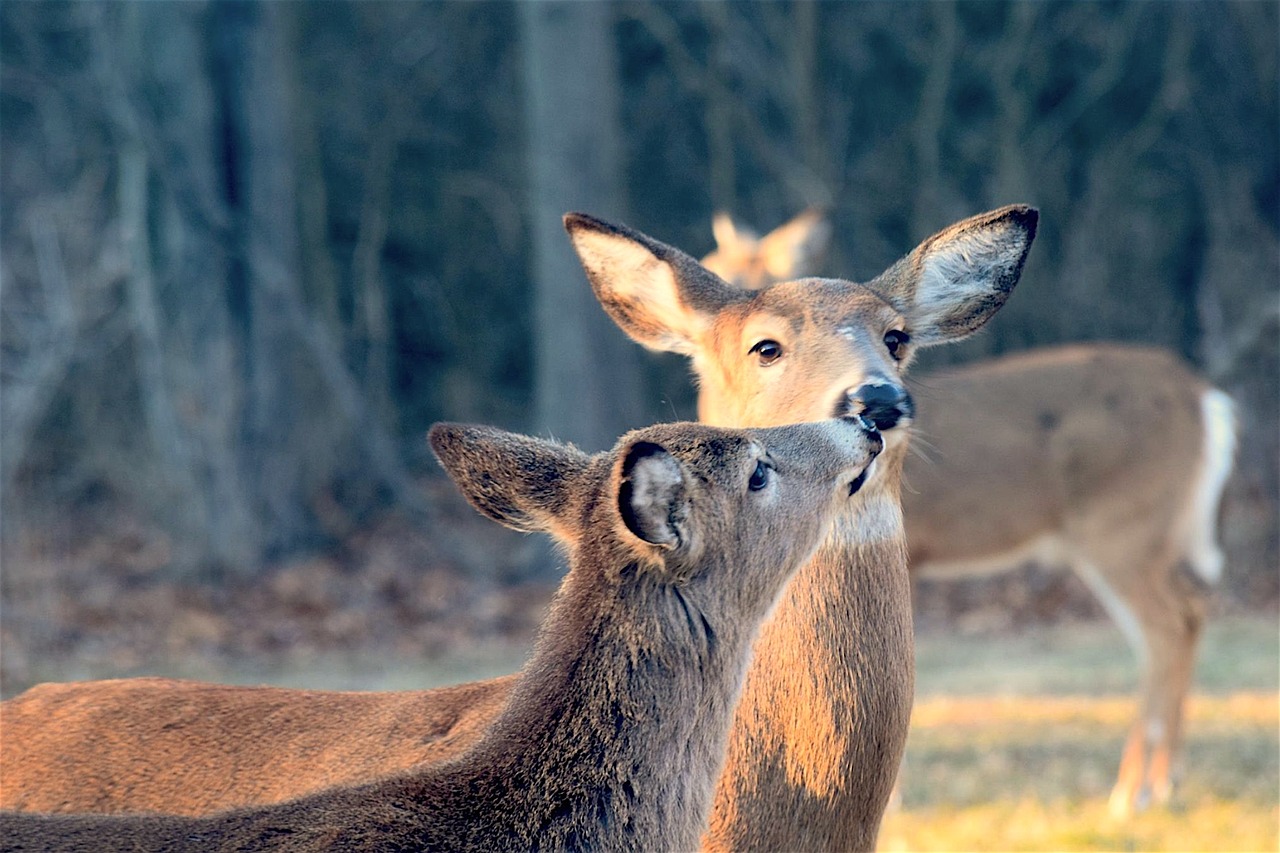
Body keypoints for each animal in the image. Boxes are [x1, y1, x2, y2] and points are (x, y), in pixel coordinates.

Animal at [701, 208, 1239, 814]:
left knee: (1167, 626)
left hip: (1125, 529)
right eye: (716, 265)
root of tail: (1206, 398)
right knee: (1186, 617)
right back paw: (1163, 780)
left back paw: (1133, 792)